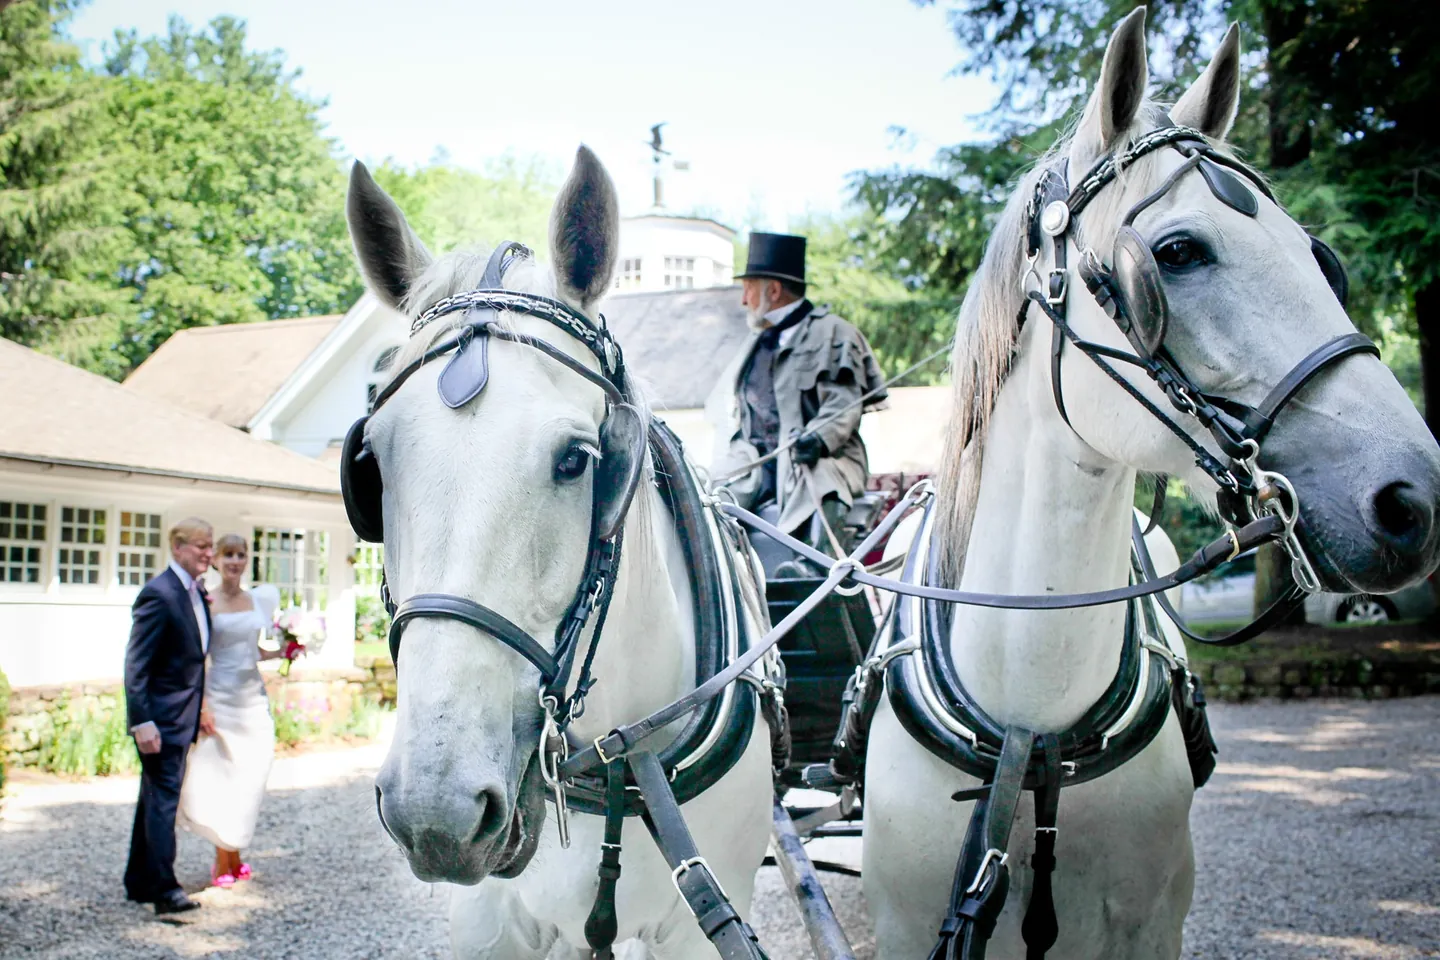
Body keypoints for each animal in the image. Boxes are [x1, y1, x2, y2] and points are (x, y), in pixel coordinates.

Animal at [342, 146, 774, 959]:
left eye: (577, 460)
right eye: (370, 468)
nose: (436, 811)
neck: (618, 762)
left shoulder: (698, 925)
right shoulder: (492, 925)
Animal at [862, 9, 1440, 959]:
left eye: (1320, 258)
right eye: (1176, 252)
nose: (1413, 500)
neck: (1034, 727)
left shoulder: (1148, 926)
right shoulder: (908, 926)